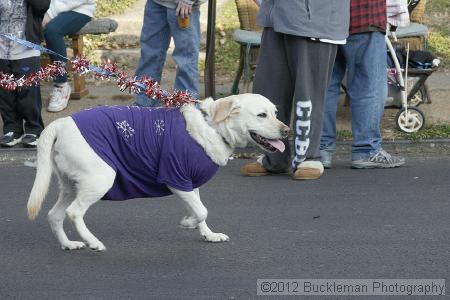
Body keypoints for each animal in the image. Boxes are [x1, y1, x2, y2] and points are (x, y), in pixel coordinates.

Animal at [27, 94, 288, 251]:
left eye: (275, 112)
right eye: (261, 115)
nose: (287, 130)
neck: (212, 126)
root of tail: (62, 122)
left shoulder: (189, 183)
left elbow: (200, 210)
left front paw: (208, 234)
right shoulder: (175, 177)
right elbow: (202, 210)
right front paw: (188, 222)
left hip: (71, 186)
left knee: (54, 215)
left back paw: (69, 244)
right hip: (99, 179)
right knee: (73, 213)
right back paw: (93, 242)